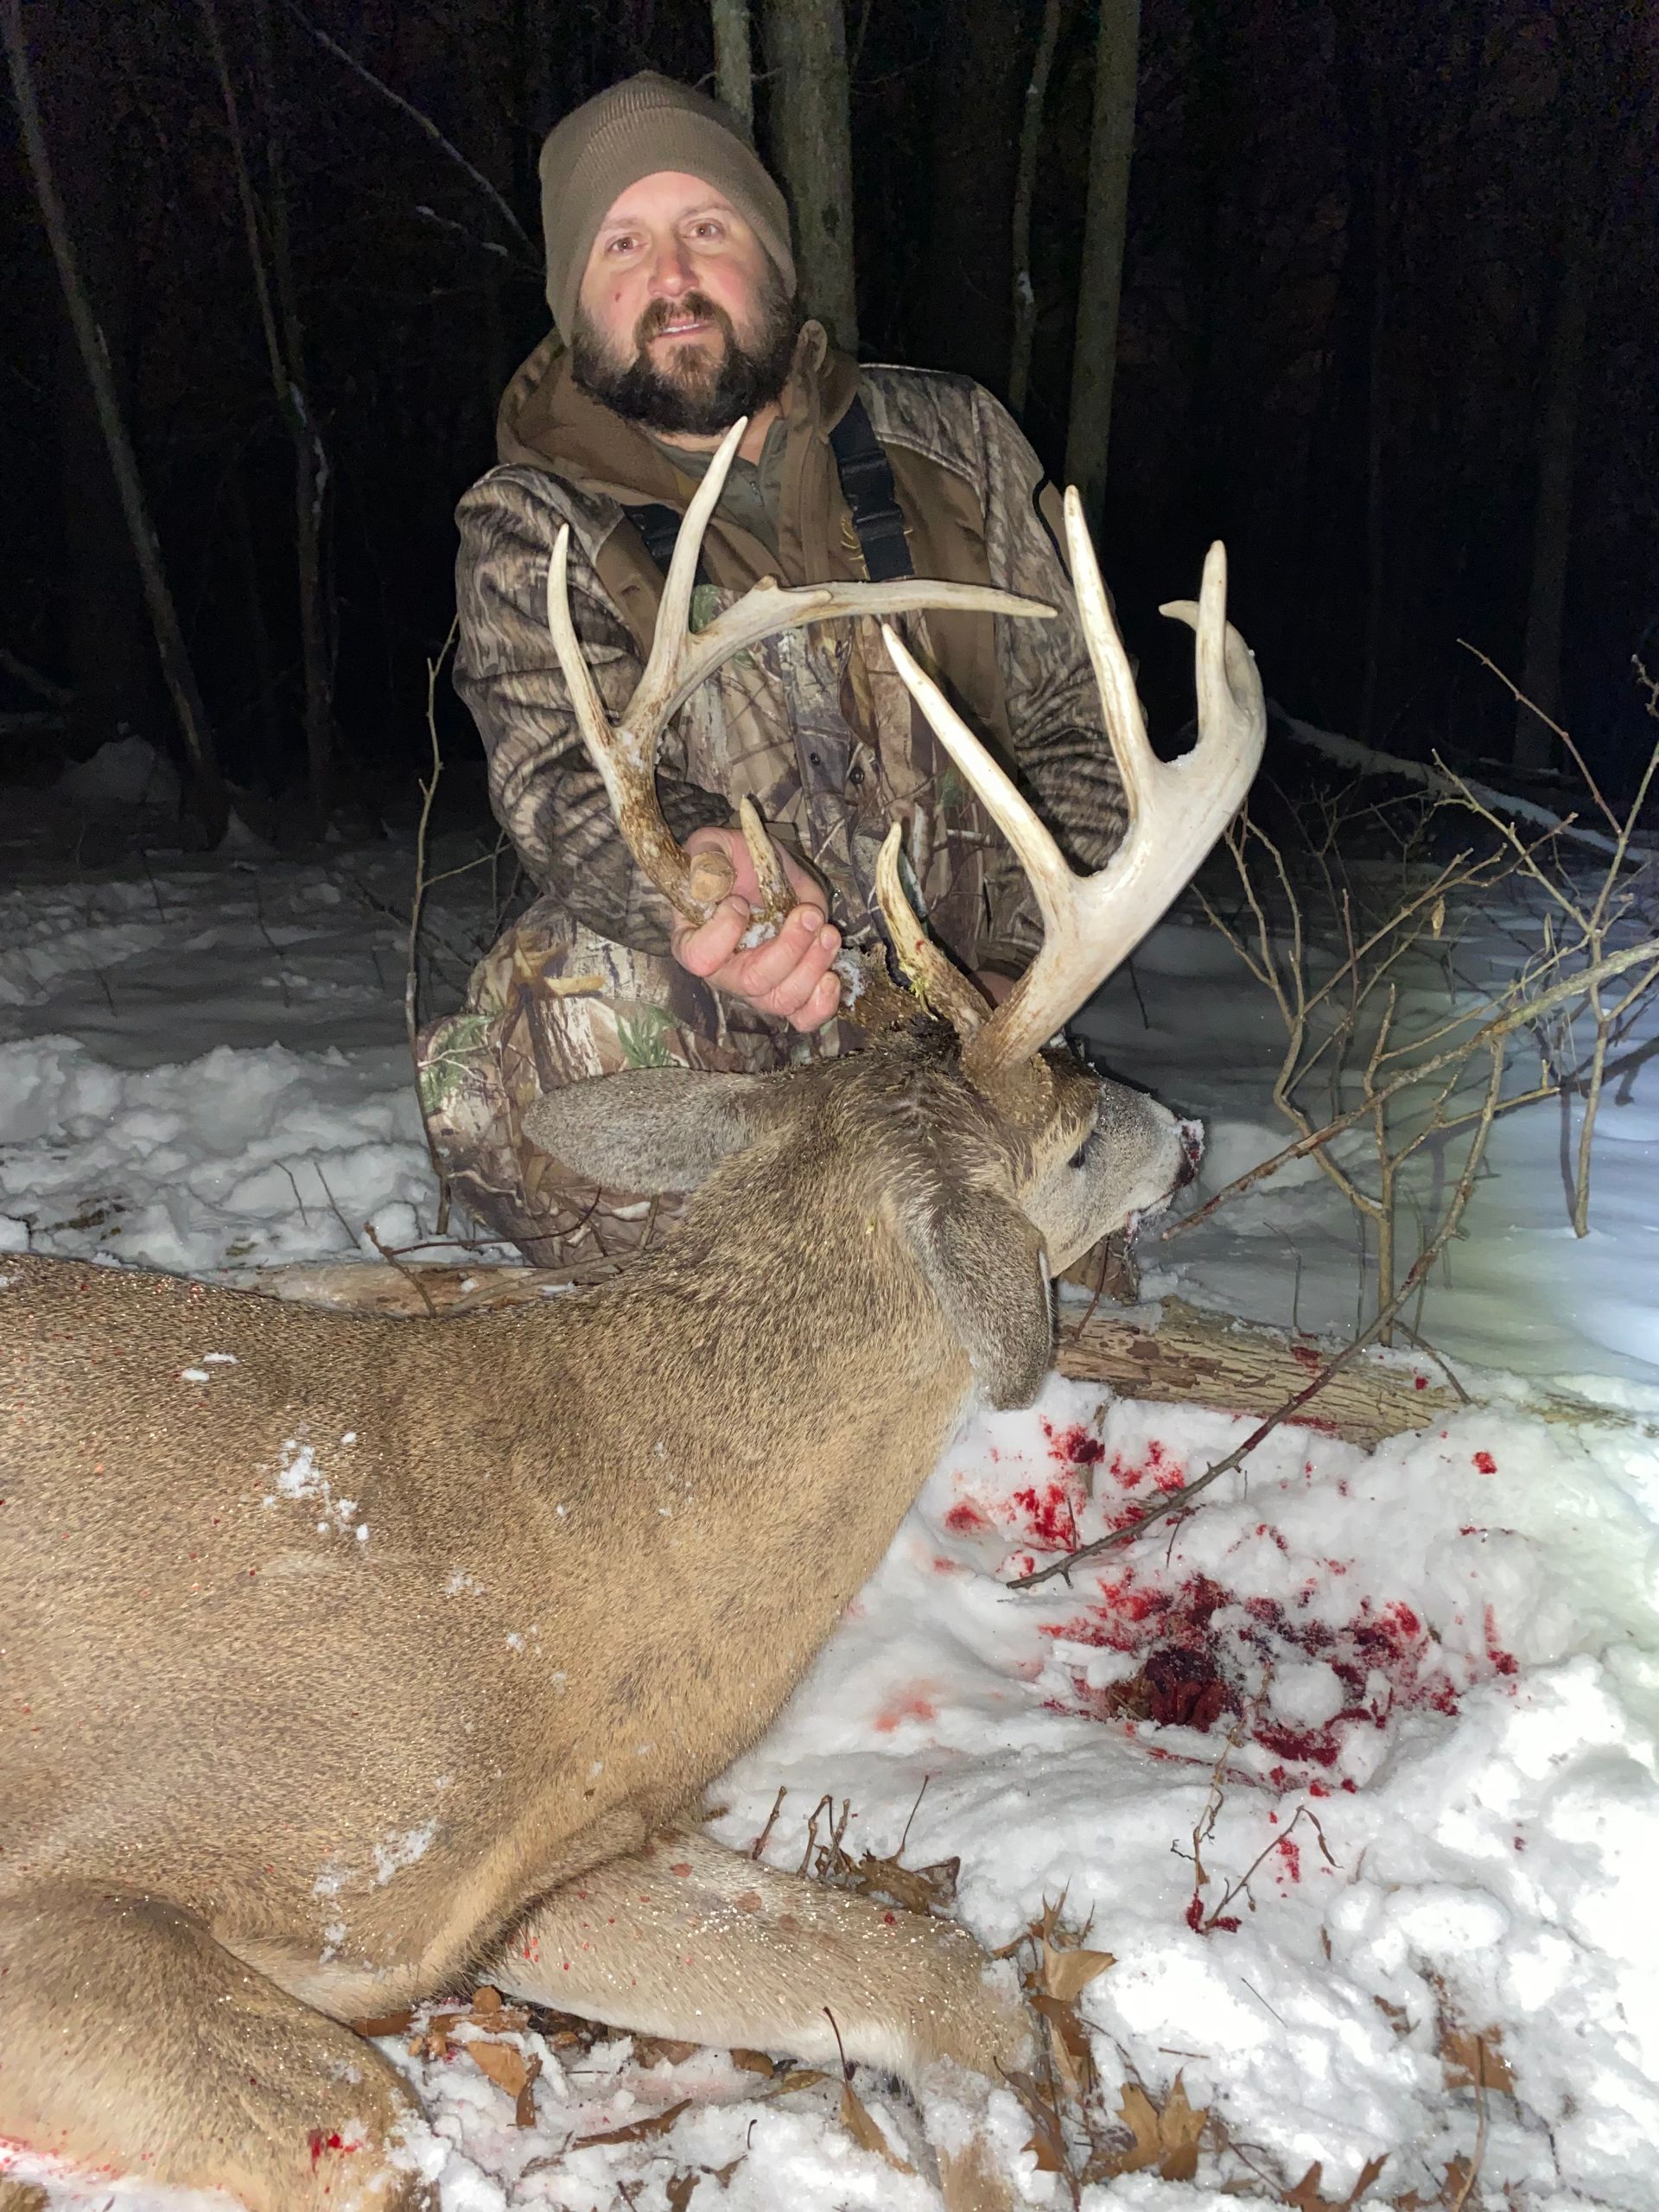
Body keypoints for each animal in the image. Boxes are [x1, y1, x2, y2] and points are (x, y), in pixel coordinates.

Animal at [0, 420, 1264, 2212]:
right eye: (1076, 1140)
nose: (1187, 1130)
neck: (568, 1566)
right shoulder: (92, 1875)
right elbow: (372, 2126)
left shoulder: (550, 1873)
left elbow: (946, 1975)